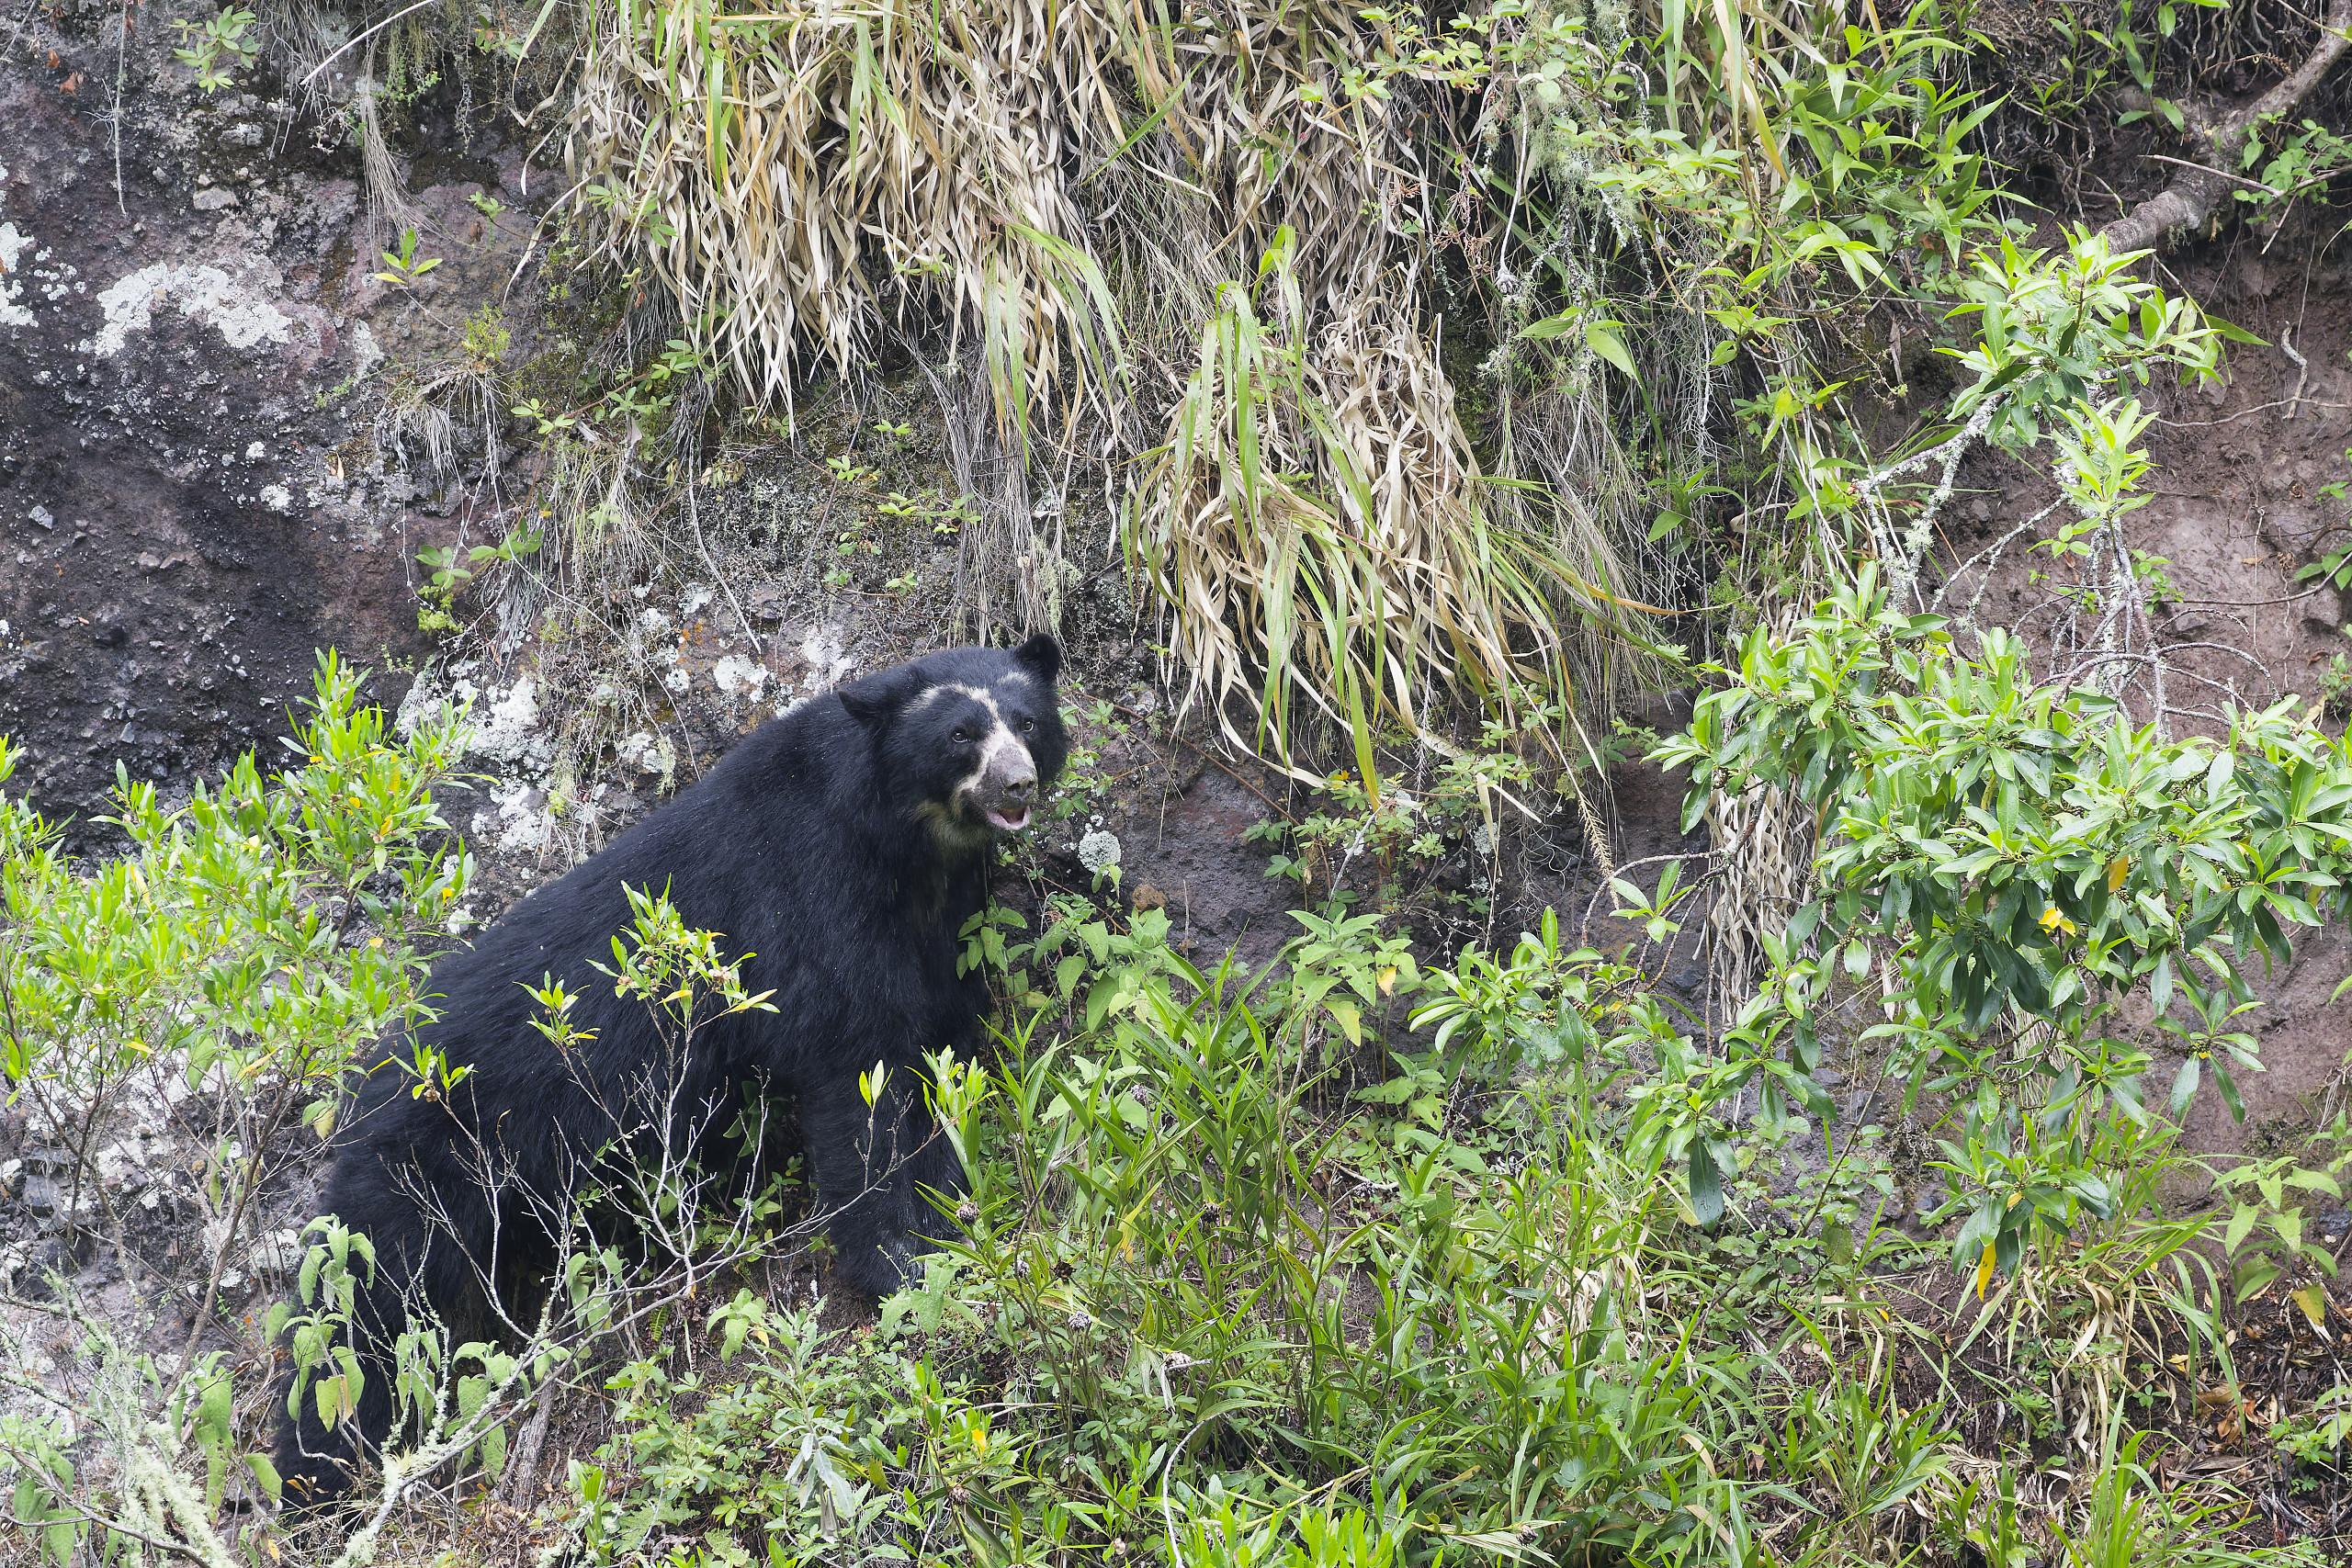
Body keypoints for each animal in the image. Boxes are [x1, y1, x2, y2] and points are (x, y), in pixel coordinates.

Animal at [277, 634, 1077, 1495]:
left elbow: (943, 1045)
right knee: (359, 1321)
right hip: (418, 1180)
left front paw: (955, 1217)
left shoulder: (944, 925)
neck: (907, 844)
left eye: (1027, 721)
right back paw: (316, 1469)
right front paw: (908, 1260)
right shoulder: (816, 902)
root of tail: (357, 1092)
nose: (1018, 782)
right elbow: (867, 1078)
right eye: (961, 734)